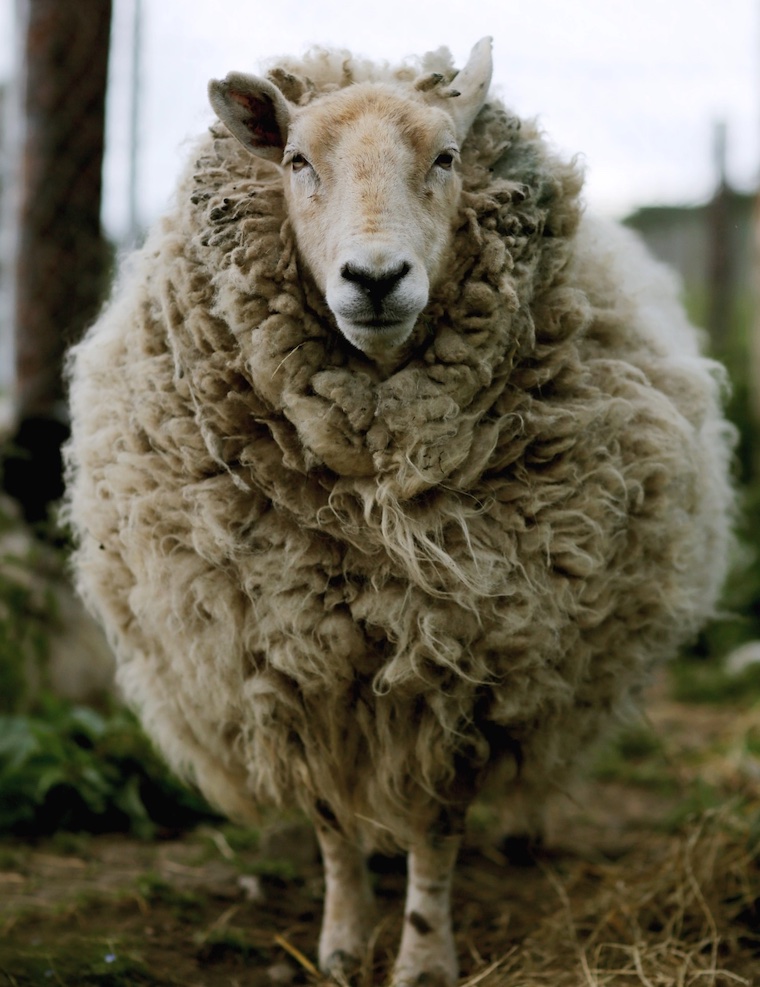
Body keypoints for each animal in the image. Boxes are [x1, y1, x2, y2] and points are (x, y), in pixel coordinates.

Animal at [64, 38, 735, 986]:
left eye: (447, 157)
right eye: (297, 161)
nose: (376, 279)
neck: (372, 495)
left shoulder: (469, 664)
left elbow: (438, 825)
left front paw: (423, 955)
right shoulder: (291, 660)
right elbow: (331, 821)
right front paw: (344, 942)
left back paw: (526, 828)